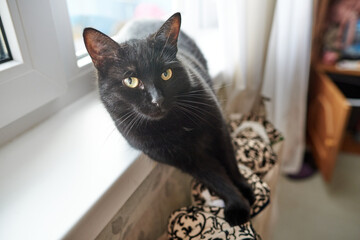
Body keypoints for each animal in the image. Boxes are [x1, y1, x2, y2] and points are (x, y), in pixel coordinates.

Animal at [83, 12, 255, 225]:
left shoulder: (218, 128)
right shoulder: (186, 160)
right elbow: (217, 179)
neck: (173, 126)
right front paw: (237, 205)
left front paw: (245, 190)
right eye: (130, 81)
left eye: (166, 74)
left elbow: (230, 161)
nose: (157, 99)